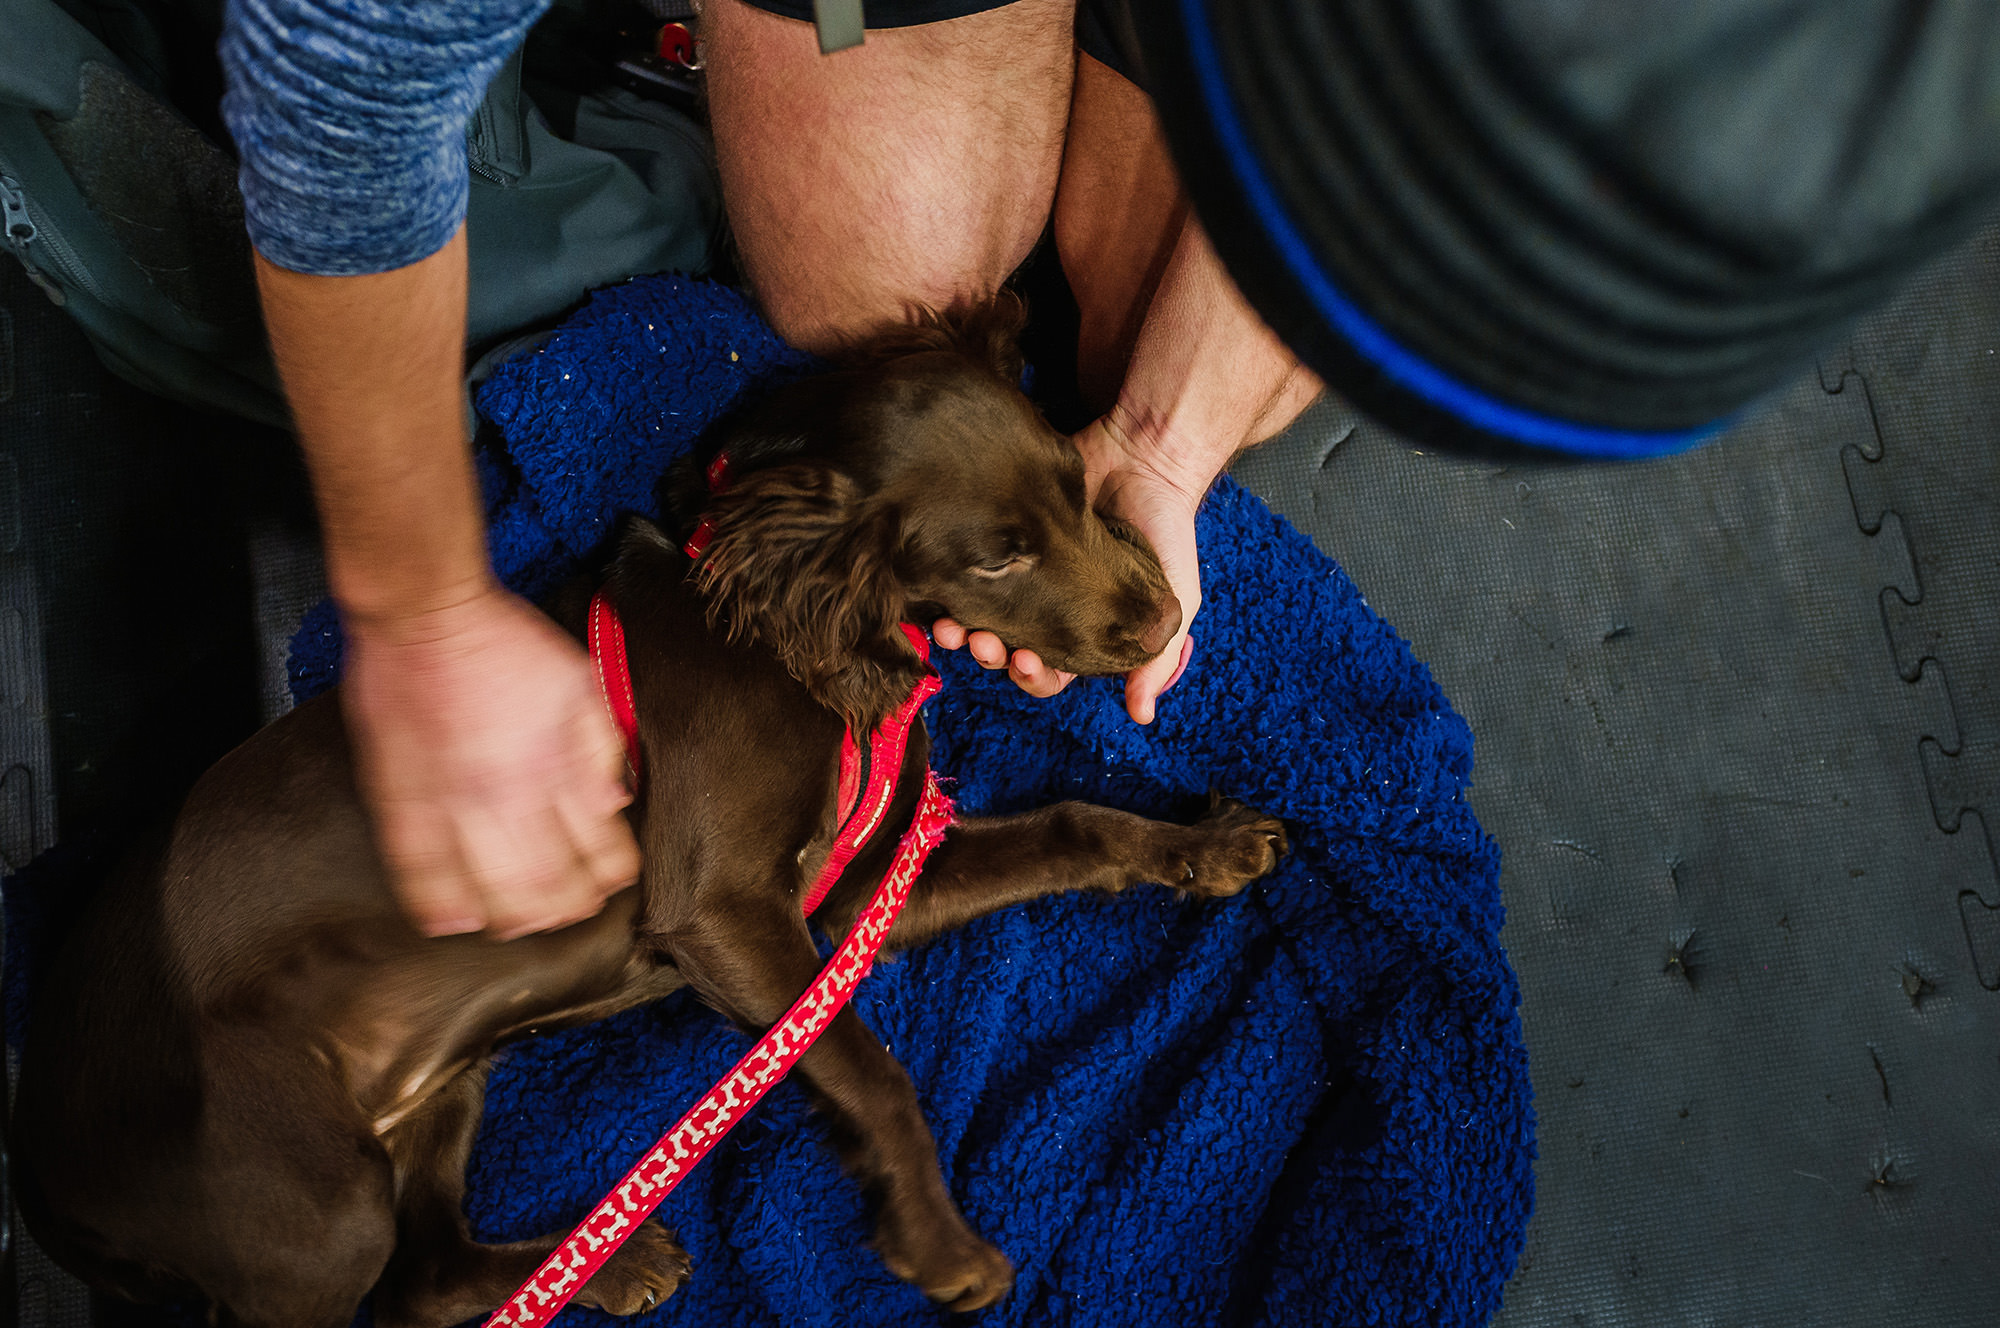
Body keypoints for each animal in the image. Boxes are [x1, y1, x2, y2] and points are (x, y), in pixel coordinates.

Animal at [11, 300, 1280, 1328]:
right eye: (998, 558)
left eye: (1076, 482)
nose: (1165, 618)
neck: (796, 631)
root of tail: (39, 1162)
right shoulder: (723, 911)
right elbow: (871, 1068)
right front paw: (936, 1240)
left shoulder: (854, 895)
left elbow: (1072, 822)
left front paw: (1205, 843)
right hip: (314, 1208)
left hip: (438, 1085)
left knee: (422, 1282)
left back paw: (609, 1267)